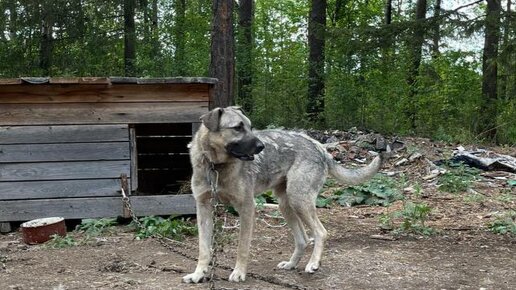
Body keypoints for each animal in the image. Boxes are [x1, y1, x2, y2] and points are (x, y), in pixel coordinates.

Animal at [182, 106, 382, 284]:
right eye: (237, 127)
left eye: (250, 126)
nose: (261, 146)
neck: (215, 166)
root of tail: (319, 147)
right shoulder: (203, 208)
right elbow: (204, 249)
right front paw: (198, 274)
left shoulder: (246, 208)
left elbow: (242, 247)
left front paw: (238, 273)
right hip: (286, 205)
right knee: (303, 239)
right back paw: (292, 264)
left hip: (299, 200)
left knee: (320, 232)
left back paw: (313, 263)